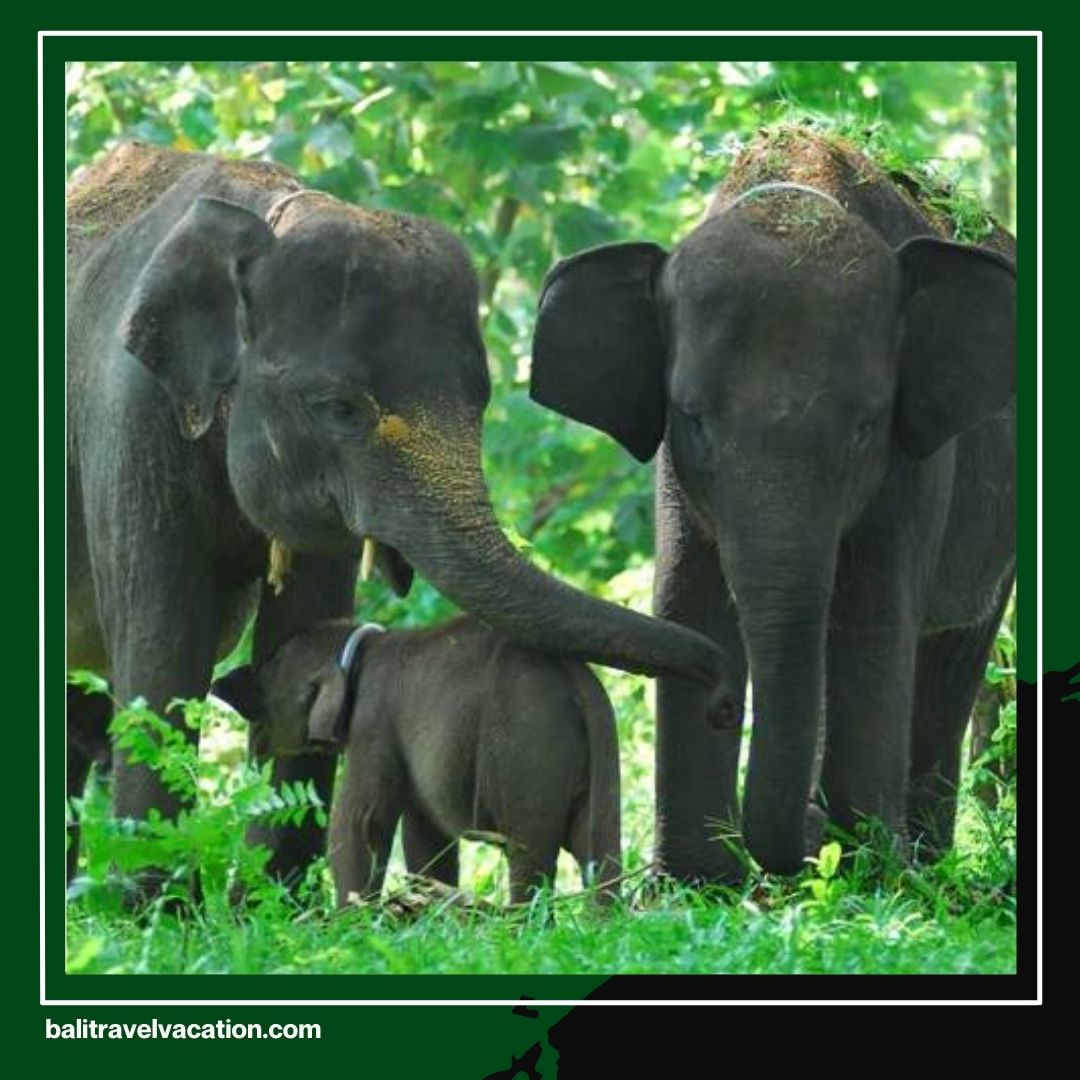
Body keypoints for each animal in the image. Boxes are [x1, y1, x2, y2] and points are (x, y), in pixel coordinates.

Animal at [214, 616, 622, 906]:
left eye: (270, 675)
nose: (219, 684)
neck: (363, 642)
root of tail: (578, 680)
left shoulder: (373, 724)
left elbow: (360, 822)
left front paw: (349, 925)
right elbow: (425, 834)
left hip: (528, 749)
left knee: (528, 852)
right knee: (596, 846)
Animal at [530, 129, 1016, 879]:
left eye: (866, 424)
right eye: (693, 417)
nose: (727, 705)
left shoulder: (915, 462)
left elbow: (874, 616)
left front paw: (873, 870)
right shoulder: (675, 467)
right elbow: (688, 599)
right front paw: (697, 881)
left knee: (953, 652)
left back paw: (923, 861)